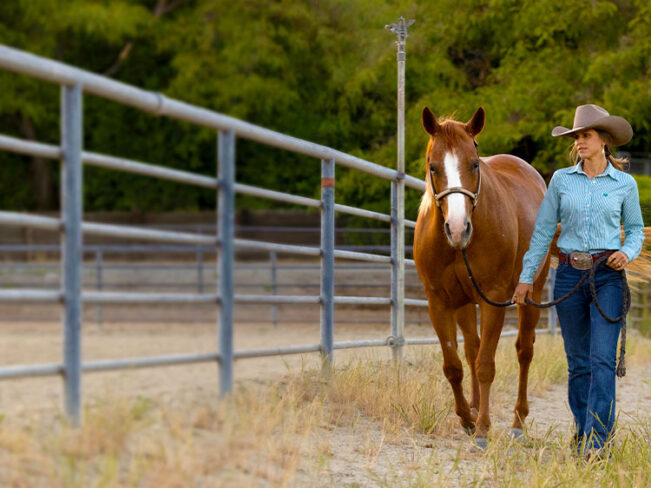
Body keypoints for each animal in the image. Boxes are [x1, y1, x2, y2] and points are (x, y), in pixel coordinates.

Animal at [416, 106, 552, 442]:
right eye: (432, 166)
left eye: (474, 164)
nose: (457, 228)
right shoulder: (439, 302)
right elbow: (454, 365)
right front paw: (467, 417)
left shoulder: (494, 299)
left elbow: (487, 365)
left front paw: (482, 428)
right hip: (465, 303)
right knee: (471, 349)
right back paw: (476, 407)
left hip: (530, 295)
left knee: (524, 351)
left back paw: (517, 421)